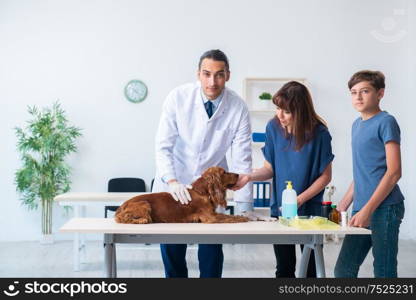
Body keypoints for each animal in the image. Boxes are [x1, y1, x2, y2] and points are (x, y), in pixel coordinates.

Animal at [115, 168, 249, 224]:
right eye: (224, 172)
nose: (238, 174)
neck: (202, 192)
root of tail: (121, 207)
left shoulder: (212, 215)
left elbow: (229, 216)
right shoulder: (211, 217)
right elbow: (229, 217)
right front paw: (243, 218)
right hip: (144, 203)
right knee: (122, 218)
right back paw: (141, 220)